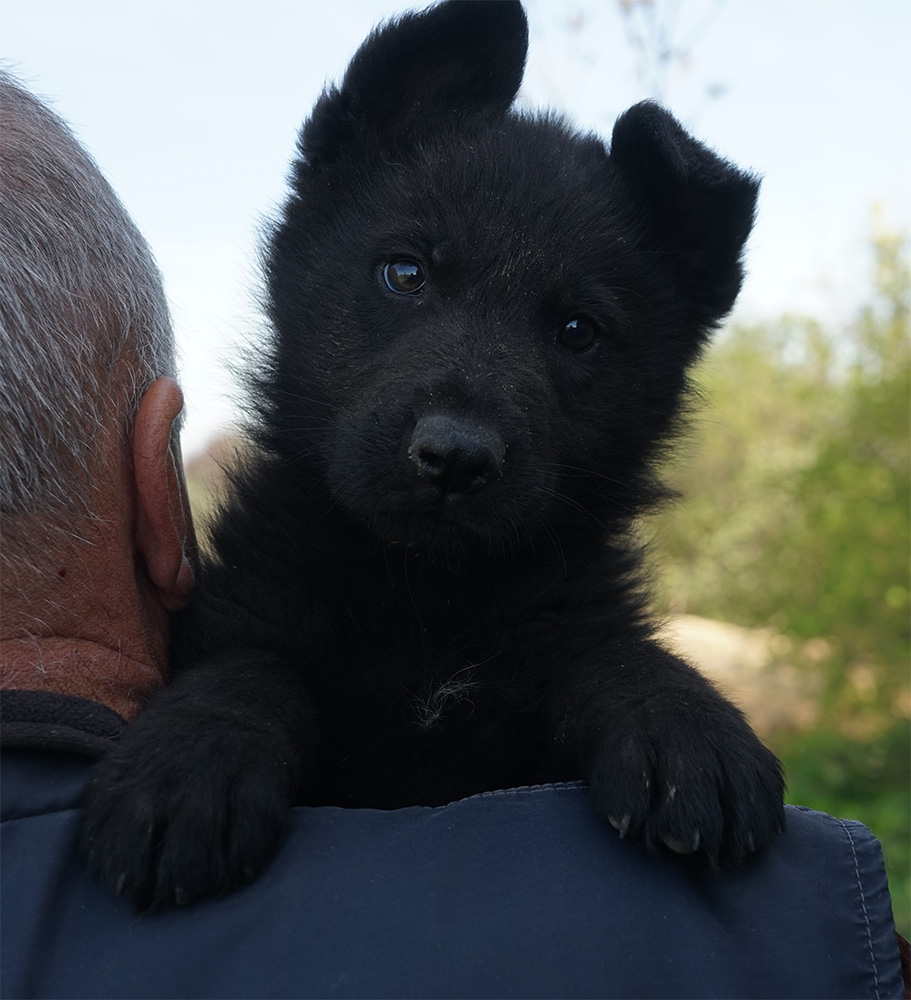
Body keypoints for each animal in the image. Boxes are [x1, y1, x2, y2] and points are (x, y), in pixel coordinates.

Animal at [82, 0, 788, 912]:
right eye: (406, 273)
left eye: (576, 331)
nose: (454, 457)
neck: (427, 594)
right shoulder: (252, 613)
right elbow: (251, 666)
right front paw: (187, 762)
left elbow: (608, 650)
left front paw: (684, 724)